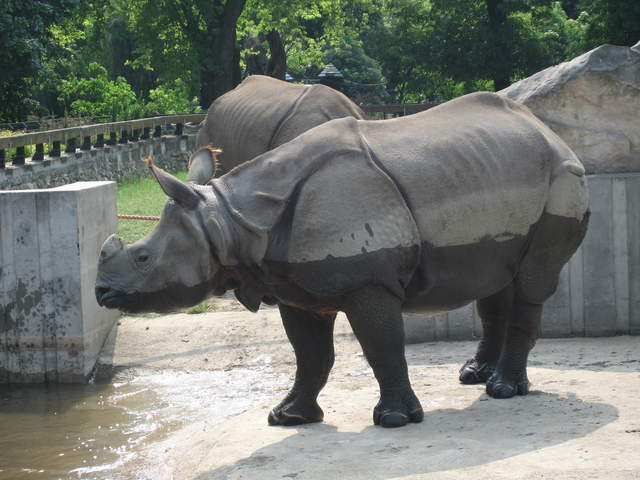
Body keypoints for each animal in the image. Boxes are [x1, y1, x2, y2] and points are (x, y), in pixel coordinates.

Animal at [96, 92, 589, 429]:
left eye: (142, 257)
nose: (101, 292)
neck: (230, 220)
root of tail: (551, 134)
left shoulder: (369, 281)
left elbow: (381, 346)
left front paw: (394, 420)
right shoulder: (292, 287)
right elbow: (309, 354)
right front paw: (288, 417)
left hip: (562, 178)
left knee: (531, 282)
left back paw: (504, 390)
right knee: (496, 280)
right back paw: (473, 376)